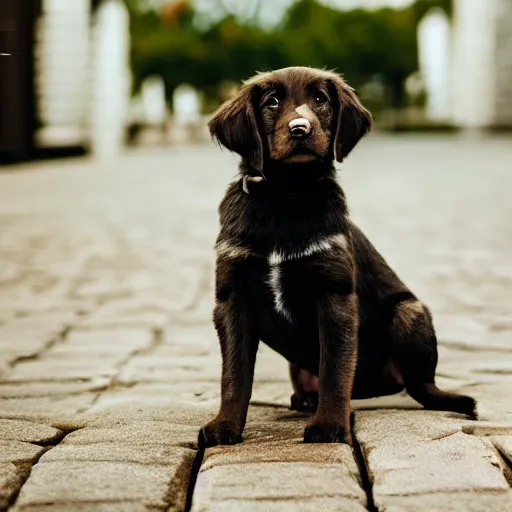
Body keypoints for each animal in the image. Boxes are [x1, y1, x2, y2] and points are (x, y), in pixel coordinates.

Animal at [199, 66, 476, 446]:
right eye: (272, 102)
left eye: (321, 99)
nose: (300, 128)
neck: (286, 197)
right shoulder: (232, 299)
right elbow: (234, 376)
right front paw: (224, 425)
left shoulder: (334, 294)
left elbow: (334, 368)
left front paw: (329, 425)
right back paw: (304, 400)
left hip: (409, 312)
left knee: (421, 385)